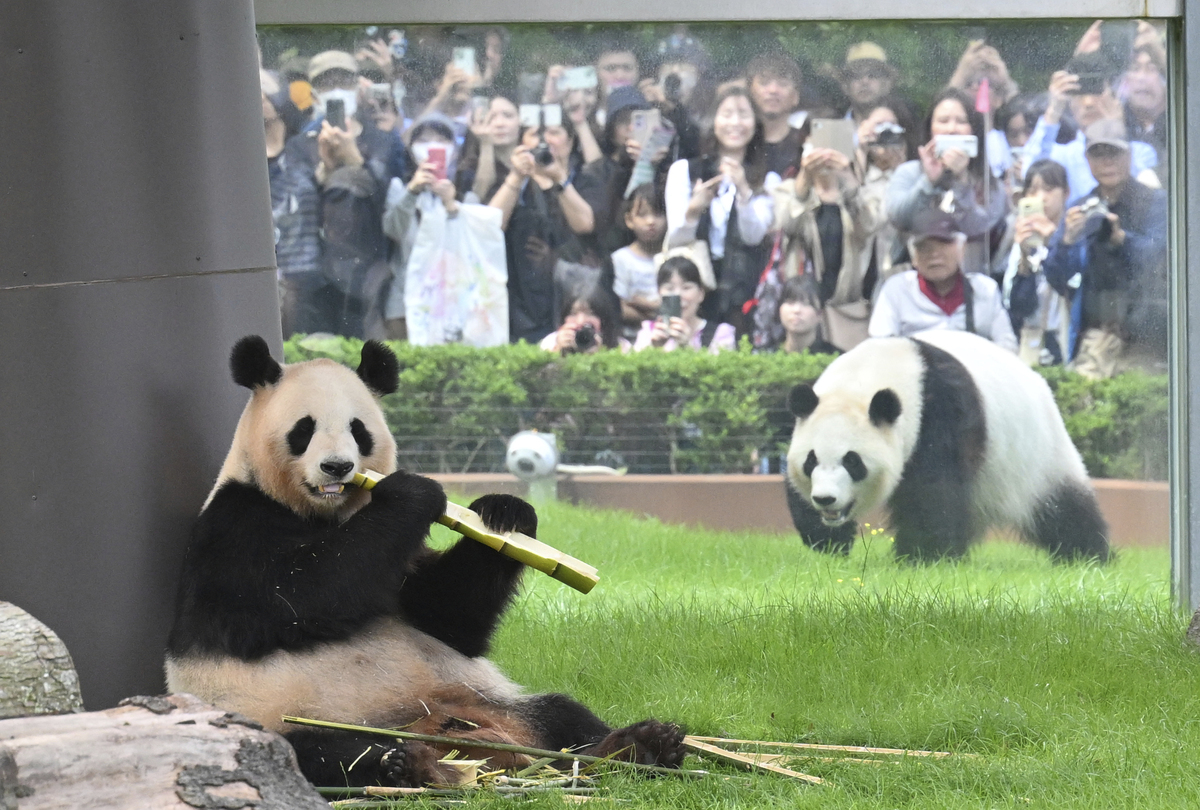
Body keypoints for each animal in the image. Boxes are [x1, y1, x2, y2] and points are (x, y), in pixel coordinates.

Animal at [166, 336, 685, 788]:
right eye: (304, 429)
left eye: (357, 430)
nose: (338, 467)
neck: (323, 514)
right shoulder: (233, 529)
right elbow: (292, 598)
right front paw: (412, 492)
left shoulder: (404, 561)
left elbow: (449, 617)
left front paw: (505, 512)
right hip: (281, 715)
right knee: (320, 753)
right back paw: (407, 765)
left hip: (483, 699)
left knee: (561, 716)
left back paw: (637, 746)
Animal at [784, 330, 1109, 562]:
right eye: (811, 461)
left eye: (853, 461)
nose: (826, 499)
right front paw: (828, 544)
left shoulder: (941, 414)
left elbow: (933, 490)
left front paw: (922, 555)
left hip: (1037, 455)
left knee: (1064, 509)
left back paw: (1088, 555)